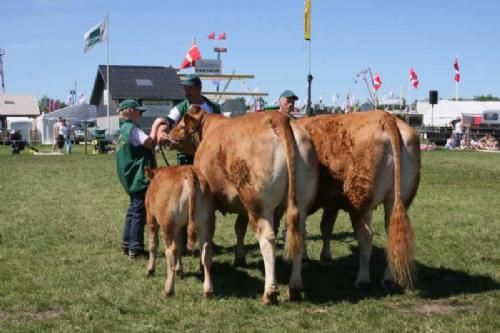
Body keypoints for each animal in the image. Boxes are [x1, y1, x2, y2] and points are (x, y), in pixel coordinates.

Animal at [145, 165, 215, 296]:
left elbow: (153, 245)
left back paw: (168, 289)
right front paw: (179, 269)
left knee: (170, 252)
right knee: (206, 251)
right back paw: (208, 290)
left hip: (167, 225)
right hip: (206, 222)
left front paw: (150, 269)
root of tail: (188, 171)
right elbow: (180, 246)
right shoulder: (180, 227)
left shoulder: (151, 218)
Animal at [166, 106, 318, 304]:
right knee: (299, 235)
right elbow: (239, 228)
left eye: (182, 125)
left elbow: (205, 238)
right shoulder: (242, 206)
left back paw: (270, 292)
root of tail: (277, 117)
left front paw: (199, 266)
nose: (168, 135)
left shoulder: (208, 203)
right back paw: (295, 287)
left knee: (267, 239)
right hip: (300, 202)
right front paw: (239, 257)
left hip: (258, 205)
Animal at [298, 111, 420, 288]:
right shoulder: (331, 201)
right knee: (391, 233)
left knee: (365, 237)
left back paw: (362, 279)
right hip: (396, 198)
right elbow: (326, 227)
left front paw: (305, 259)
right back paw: (388, 278)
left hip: (360, 201)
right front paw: (325, 258)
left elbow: (304, 230)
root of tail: (386, 117)